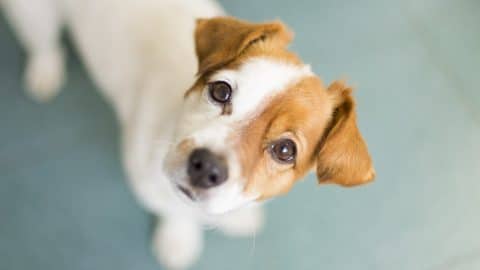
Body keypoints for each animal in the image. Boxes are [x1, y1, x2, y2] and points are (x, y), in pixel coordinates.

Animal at [0, 0, 376, 268]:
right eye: (221, 91)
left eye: (285, 150)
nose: (206, 166)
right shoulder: (147, 183)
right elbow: (175, 213)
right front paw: (178, 239)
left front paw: (239, 218)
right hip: (32, 15)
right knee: (43, 43)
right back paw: (45, 71)